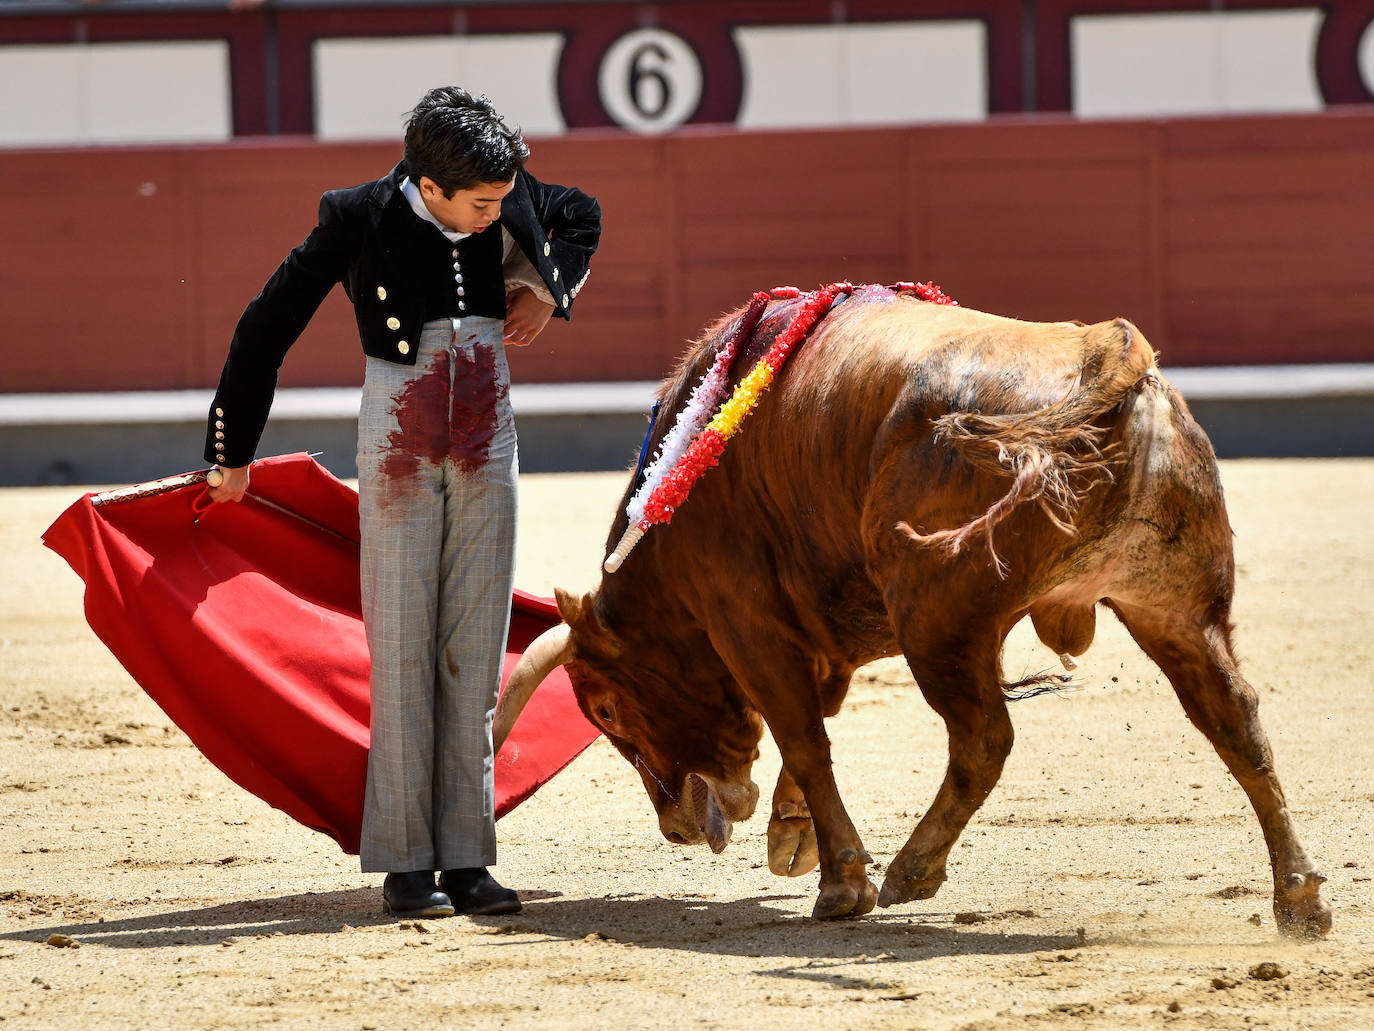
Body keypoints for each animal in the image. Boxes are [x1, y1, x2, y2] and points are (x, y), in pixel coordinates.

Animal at [497, 283, 1330, 934]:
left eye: (605, 708)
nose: (676, 828)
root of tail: (1108, 355)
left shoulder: (743, 614)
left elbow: (805, 734)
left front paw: (841, 880)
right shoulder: (816, 623)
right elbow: (815, 718)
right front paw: (794, 837)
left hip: (938, 619)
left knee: (984, 738)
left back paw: (909, 870)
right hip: (1174, 606)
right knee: (1235, 718)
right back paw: (1299, 897)